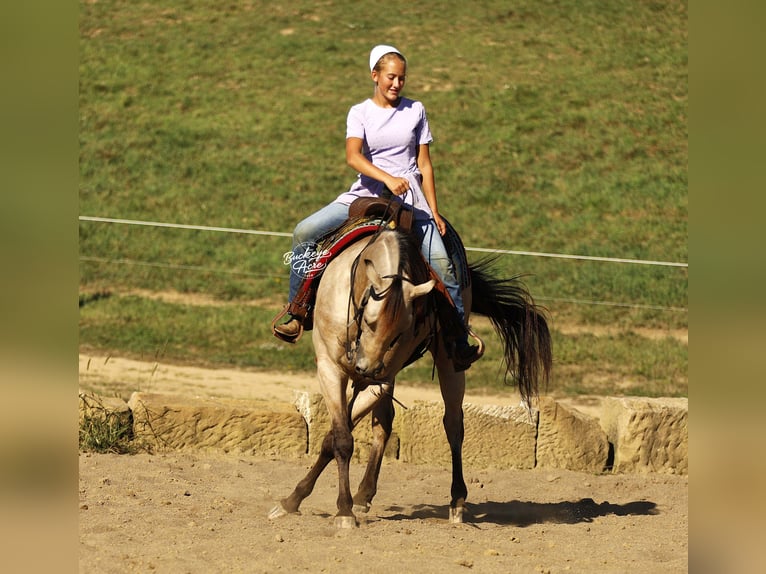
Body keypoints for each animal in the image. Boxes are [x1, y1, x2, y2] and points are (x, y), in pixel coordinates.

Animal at [268, 223, 552, 528]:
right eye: (370, 321)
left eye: (400, 331)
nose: (366, 369)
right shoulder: (329, 368)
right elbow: (339, 438)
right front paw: (296, 501)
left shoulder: (380, 379)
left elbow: (338, 437)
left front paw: (342, 510)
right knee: (384, 424)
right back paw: (363, 494)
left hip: (448, 362)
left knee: (453, 425)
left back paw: (457, 502)